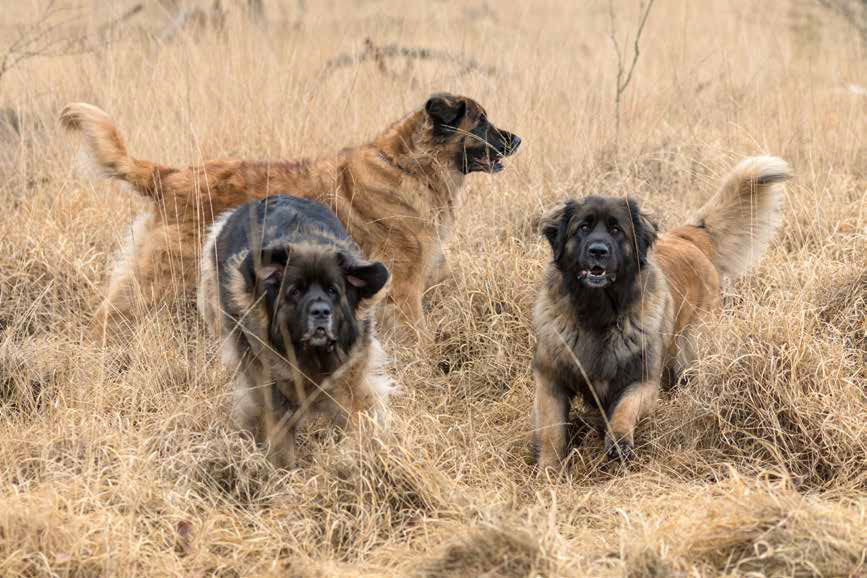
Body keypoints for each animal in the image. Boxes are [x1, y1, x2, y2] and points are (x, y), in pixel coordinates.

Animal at [62, 92, 524, 340]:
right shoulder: (404, 288)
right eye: (481, 122)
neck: (409, 165)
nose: (517, 139)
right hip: (162, 274)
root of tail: (170, 175)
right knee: (110, 314)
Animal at [198, 194, 392, 464]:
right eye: (295, 291)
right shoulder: (271, 386)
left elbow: (357, 418)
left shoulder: (350, 378)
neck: (311, 356)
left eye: (333, 290)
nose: (321, 312)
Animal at [532, 155, 792, 470]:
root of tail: (689, 236)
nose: (598, 251)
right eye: (583, 227)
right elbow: (552, 433)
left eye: (617, 230)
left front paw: (619, 439)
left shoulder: (642, 379)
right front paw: (548, 470)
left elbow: (626, 407)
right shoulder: (551, 380)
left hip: (692, 348)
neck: (598, 313)